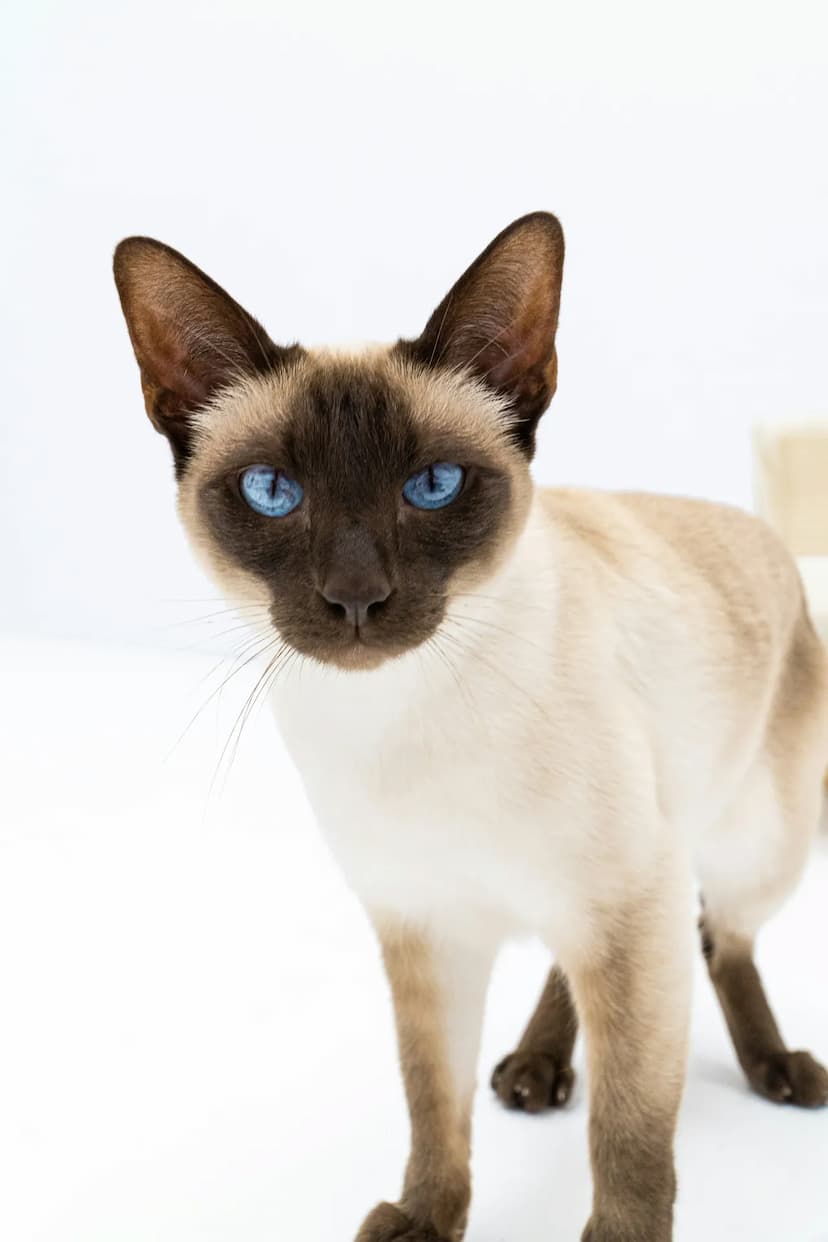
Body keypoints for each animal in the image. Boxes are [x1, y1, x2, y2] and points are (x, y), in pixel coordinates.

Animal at [113, 216, 824, 1242]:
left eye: (435, 485)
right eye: (273, 492)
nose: (356, 597)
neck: (401, 725)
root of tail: (747, 520)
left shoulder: (627, 911)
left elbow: (630, 1136)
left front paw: (617, 1232)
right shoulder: (430, 930)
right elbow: (433, 1106)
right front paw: (424, 1219)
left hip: (755, 852)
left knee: (724, 941)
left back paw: (777, 1070)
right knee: (582, 968)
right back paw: (535, 1070)